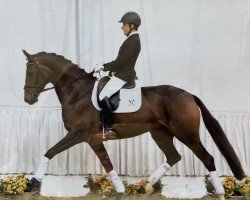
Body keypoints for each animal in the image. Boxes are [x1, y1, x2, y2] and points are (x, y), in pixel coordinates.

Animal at [22, 49, 245, 198]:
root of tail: (189, 95)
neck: (77, 92)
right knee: (174, 156)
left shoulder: (78, 135)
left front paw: (33, 183)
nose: (28, 99)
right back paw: (146, 185)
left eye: (31, 72)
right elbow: (108, 164)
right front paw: (121, 190)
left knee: (208, 158)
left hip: (186, 134)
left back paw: (220, 193)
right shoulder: (93, 140)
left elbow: (49, 152)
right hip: (160, 133)